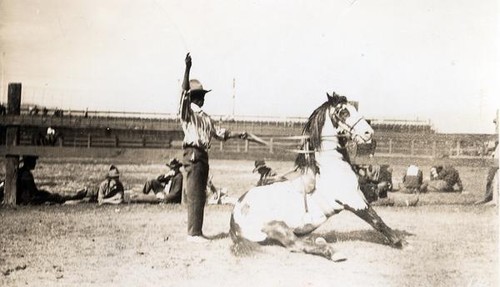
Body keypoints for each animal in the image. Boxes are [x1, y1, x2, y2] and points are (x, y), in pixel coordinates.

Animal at [230, 92, 406, 260]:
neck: (332, 167)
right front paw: (400, 242)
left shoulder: (361, 193)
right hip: (277, 226)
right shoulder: (352, 201)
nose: (368, 132)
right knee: (296, 245)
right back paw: (333, 253)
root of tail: (234, 217)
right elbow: (376, 220)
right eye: (343, 112)